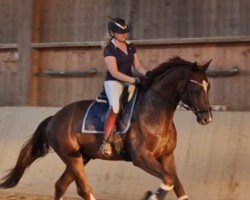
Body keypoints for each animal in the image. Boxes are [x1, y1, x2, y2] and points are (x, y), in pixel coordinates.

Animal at [0, 56, 213, 200]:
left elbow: (177, 184)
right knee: (84, 188)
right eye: (195, 88)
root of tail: (55, 117)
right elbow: (168, 180)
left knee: (61, 185)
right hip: (72, 157)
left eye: (208, 86)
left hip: (82, 157)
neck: (155, 113)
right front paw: (150, 195)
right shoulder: (142, 158)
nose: (207, 118)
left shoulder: (167, 157)